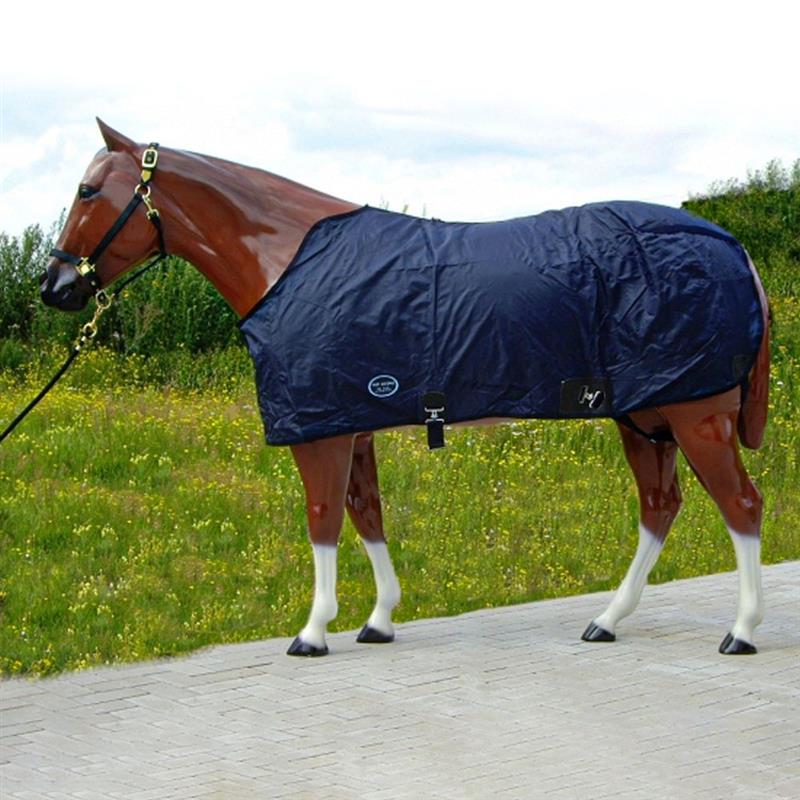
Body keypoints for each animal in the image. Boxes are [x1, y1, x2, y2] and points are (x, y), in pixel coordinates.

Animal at [40, 119, 770, 657]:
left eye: (87, 191)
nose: (56, 288)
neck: (288, 262)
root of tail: (733, 247)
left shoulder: (320, 433)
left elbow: (323, 519)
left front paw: (313, 631)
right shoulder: (351, 423)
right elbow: (366, 514)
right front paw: (379, 619)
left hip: (696, 416)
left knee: (741, 505)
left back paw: (739, 631)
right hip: (645, 417)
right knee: (660, 506)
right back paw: (608, 620)